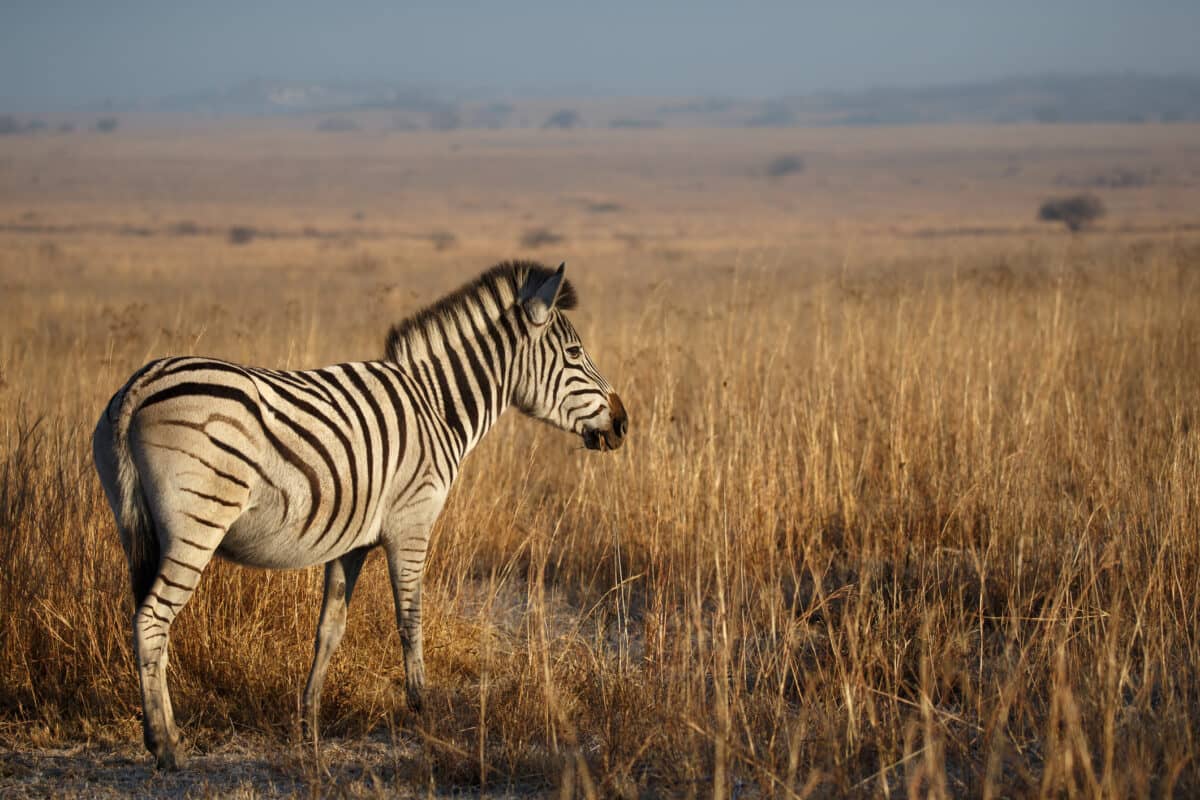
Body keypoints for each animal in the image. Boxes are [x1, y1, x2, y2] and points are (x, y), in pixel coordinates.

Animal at [91, 261, 628, 767]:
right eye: (575, 354)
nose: (623, 423)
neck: (437, 408)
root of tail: (140, 384)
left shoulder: (351, 540)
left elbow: (329, 630)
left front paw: (307, 726)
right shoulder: (411, 523)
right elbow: (410, 619)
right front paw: (424, 715)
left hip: (136, 525)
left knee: (147, 620)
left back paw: (161, 734)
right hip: (197, 525)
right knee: (152, 620)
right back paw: (165, 746)